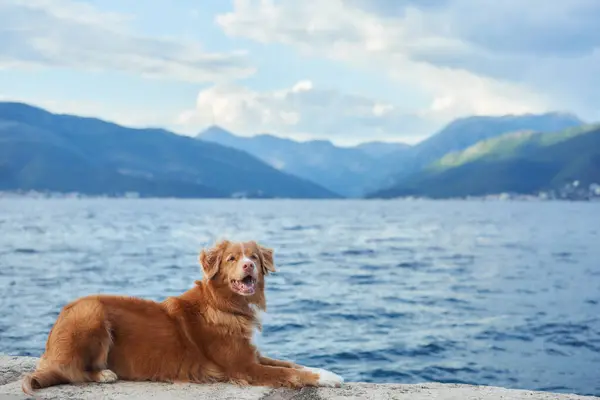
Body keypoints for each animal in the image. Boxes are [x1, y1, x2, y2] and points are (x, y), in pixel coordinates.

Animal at [22, 239, 342, 396]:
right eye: (232, 259)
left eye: (253, 256)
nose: (249, 265)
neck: (225, 304)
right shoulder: (243, 366)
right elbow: (289, 373)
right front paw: (327, 378)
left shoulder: (251, 353)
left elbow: (290, 363)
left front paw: (326, 371)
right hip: (90, 313)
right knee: (72, 371)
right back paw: (104, 374)